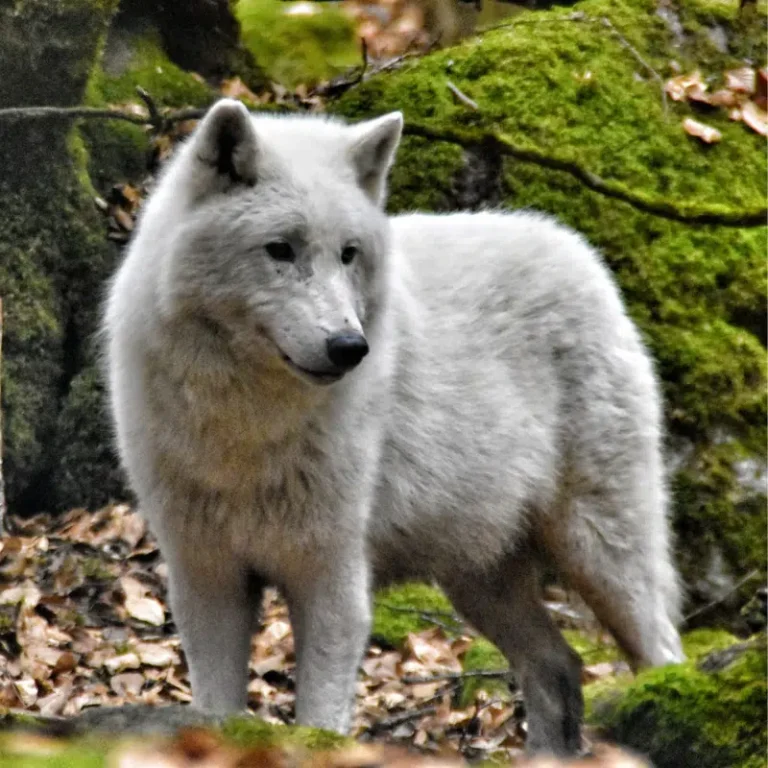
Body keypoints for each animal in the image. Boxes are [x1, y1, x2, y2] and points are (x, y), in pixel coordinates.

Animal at [102, 98, 685, 756]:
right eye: (280, 249)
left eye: (348, 253)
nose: (349, 346)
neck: (246, 429)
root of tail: (579, 250)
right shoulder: (207, 577)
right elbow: (216, 705)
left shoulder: (330, 573)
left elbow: (320, 715)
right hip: (480, 580)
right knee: (559, 665)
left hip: (599, 549)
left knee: (660, 650)